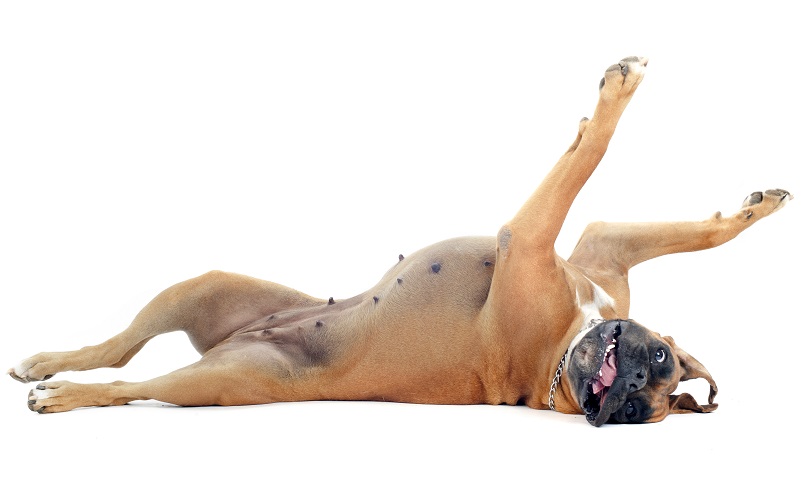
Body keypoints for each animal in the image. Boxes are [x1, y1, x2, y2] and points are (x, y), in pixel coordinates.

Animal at [7, 56, 796, 426]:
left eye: (638, 409)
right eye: (657, 358)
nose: (627, 383)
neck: (559, 355)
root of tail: (247, 339)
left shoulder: (526, 240)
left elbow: (586, 156)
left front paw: (617, 95)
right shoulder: (595, 248)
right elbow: (678, 228)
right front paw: (756, 207)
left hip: (220, 380)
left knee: (131, 384)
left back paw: (63, 393)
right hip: (203, 286)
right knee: (118, 346)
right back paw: (45, 363)